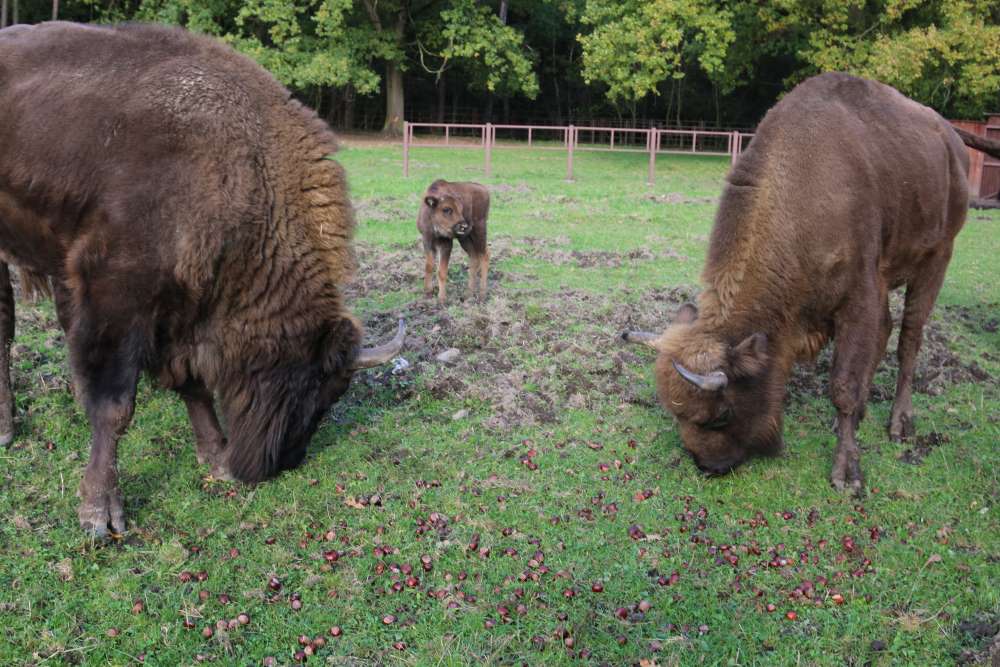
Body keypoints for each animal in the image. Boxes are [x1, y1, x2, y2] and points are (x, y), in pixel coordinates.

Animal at [2, 22, 406, 536]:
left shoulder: (182, 308)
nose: (287, 461)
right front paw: (101, 512)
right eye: (320, 390)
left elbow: (192, 383)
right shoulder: (116, 299)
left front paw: (216, 457)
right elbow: (116, 406)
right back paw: (6, 429)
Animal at [620, 73, 980, 494]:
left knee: (909, 338)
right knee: (888, 332)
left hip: (937, 258)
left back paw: (899, 424)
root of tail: (951, 141)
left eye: (721, 414)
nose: (708, 466)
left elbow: (842, 384)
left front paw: (847, 474)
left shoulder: (859, 296)